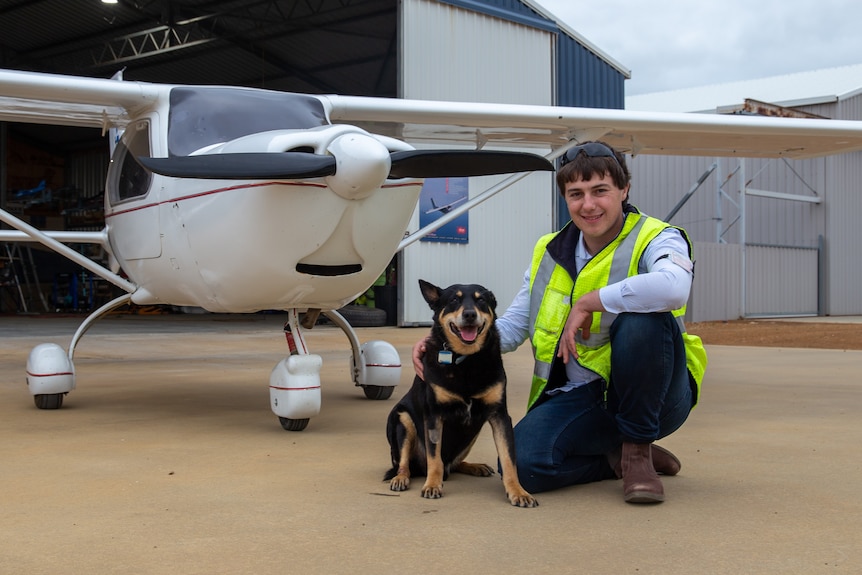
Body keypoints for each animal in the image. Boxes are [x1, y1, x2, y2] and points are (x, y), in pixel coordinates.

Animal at [386, 280, 536, 508]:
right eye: (453, 300)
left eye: (481, 300)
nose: (469, 314)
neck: (466, 360)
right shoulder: (433, 416)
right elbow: (434, 459)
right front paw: (432, 485)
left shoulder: (500, 416)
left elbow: (509, 460)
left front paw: (518, 492)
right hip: (401, 419)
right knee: (406, 463)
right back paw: (401, 478)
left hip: (472, 432)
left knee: (452, 464)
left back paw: (473, 466)